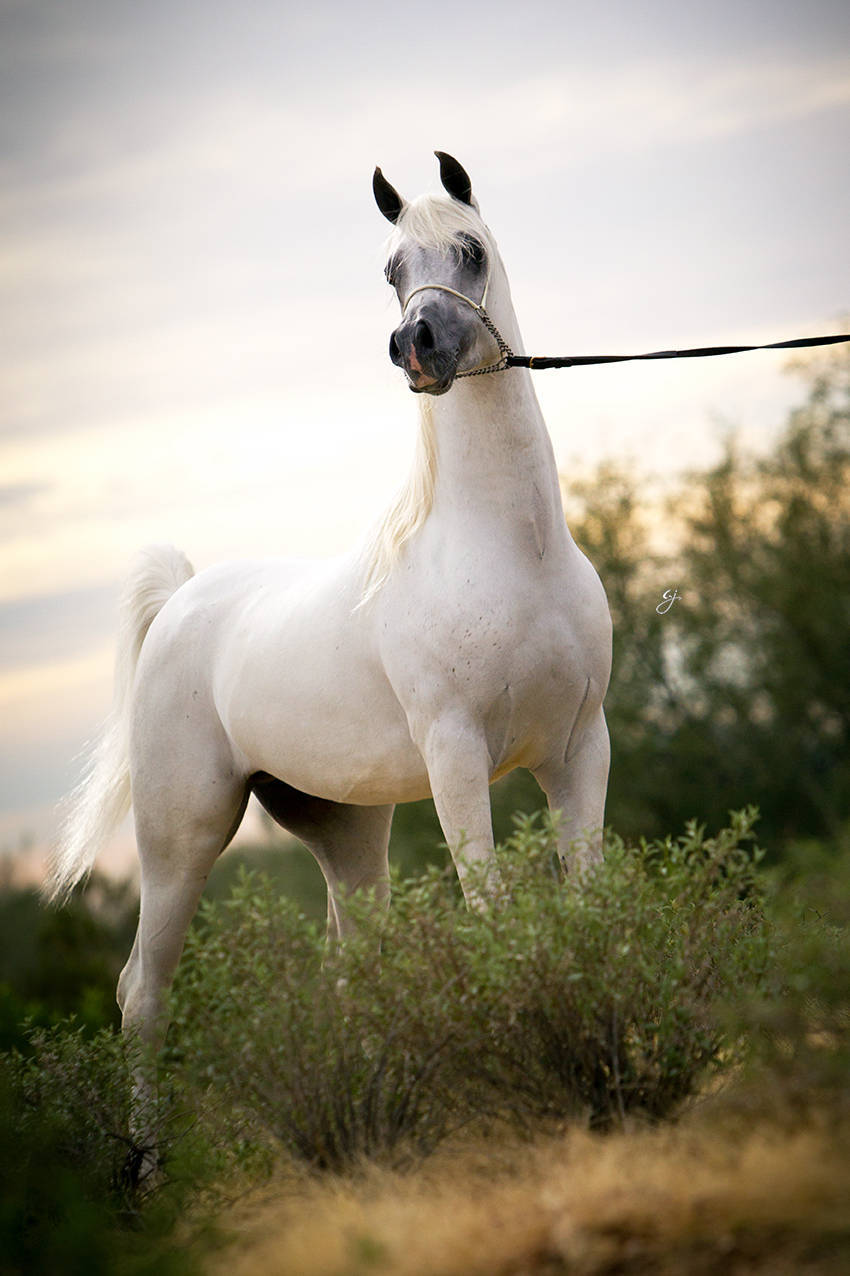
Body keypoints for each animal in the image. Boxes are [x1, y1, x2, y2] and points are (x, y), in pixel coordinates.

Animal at [47, 152, 612, 1063]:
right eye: (391, 272)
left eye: (470, 250)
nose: (415, 345)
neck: (512, 552)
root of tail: (179, 603)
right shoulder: (457, 756)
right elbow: (491, 915)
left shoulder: (578, 748)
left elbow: (593, 903)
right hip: (181, 838)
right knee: (142, 993)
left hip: (346, 828)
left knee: (351, 968)